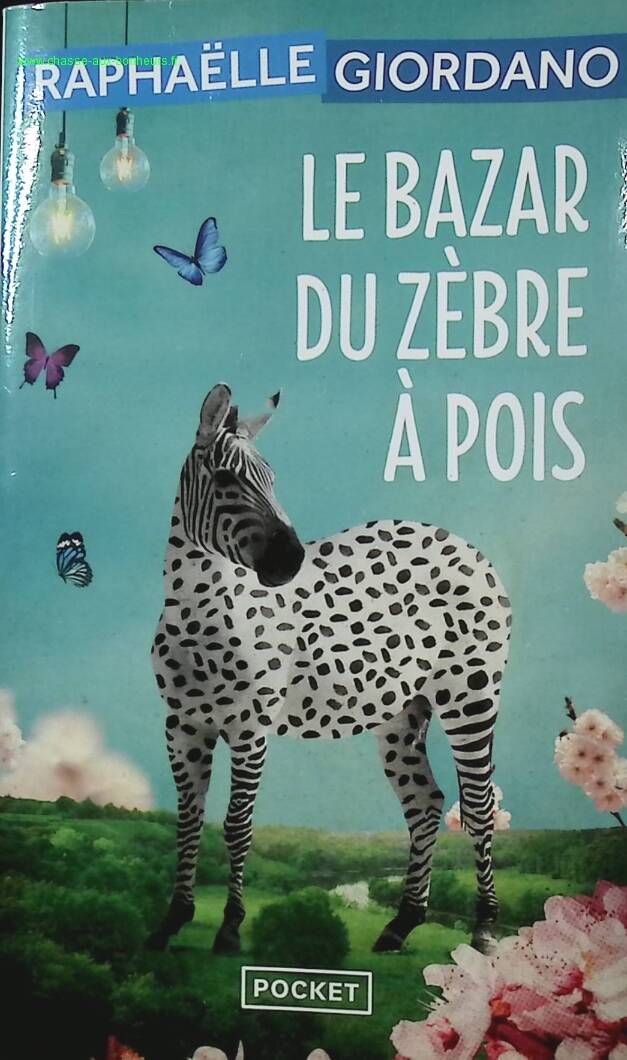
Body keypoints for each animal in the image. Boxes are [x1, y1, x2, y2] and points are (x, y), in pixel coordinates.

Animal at [148, 383, 511, 956]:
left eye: (273, 478)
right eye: (226, 480)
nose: (291, 560)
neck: (199, 611)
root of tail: (461, 543)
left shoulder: (249, 728)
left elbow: (237, 824)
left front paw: (229, 928)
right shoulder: (182, 726)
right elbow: (188, 821)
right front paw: (172, 920)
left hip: (471, 701)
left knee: (478, 805)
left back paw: (485, 928)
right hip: (402, 712)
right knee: (426, 803)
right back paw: (401, 923)